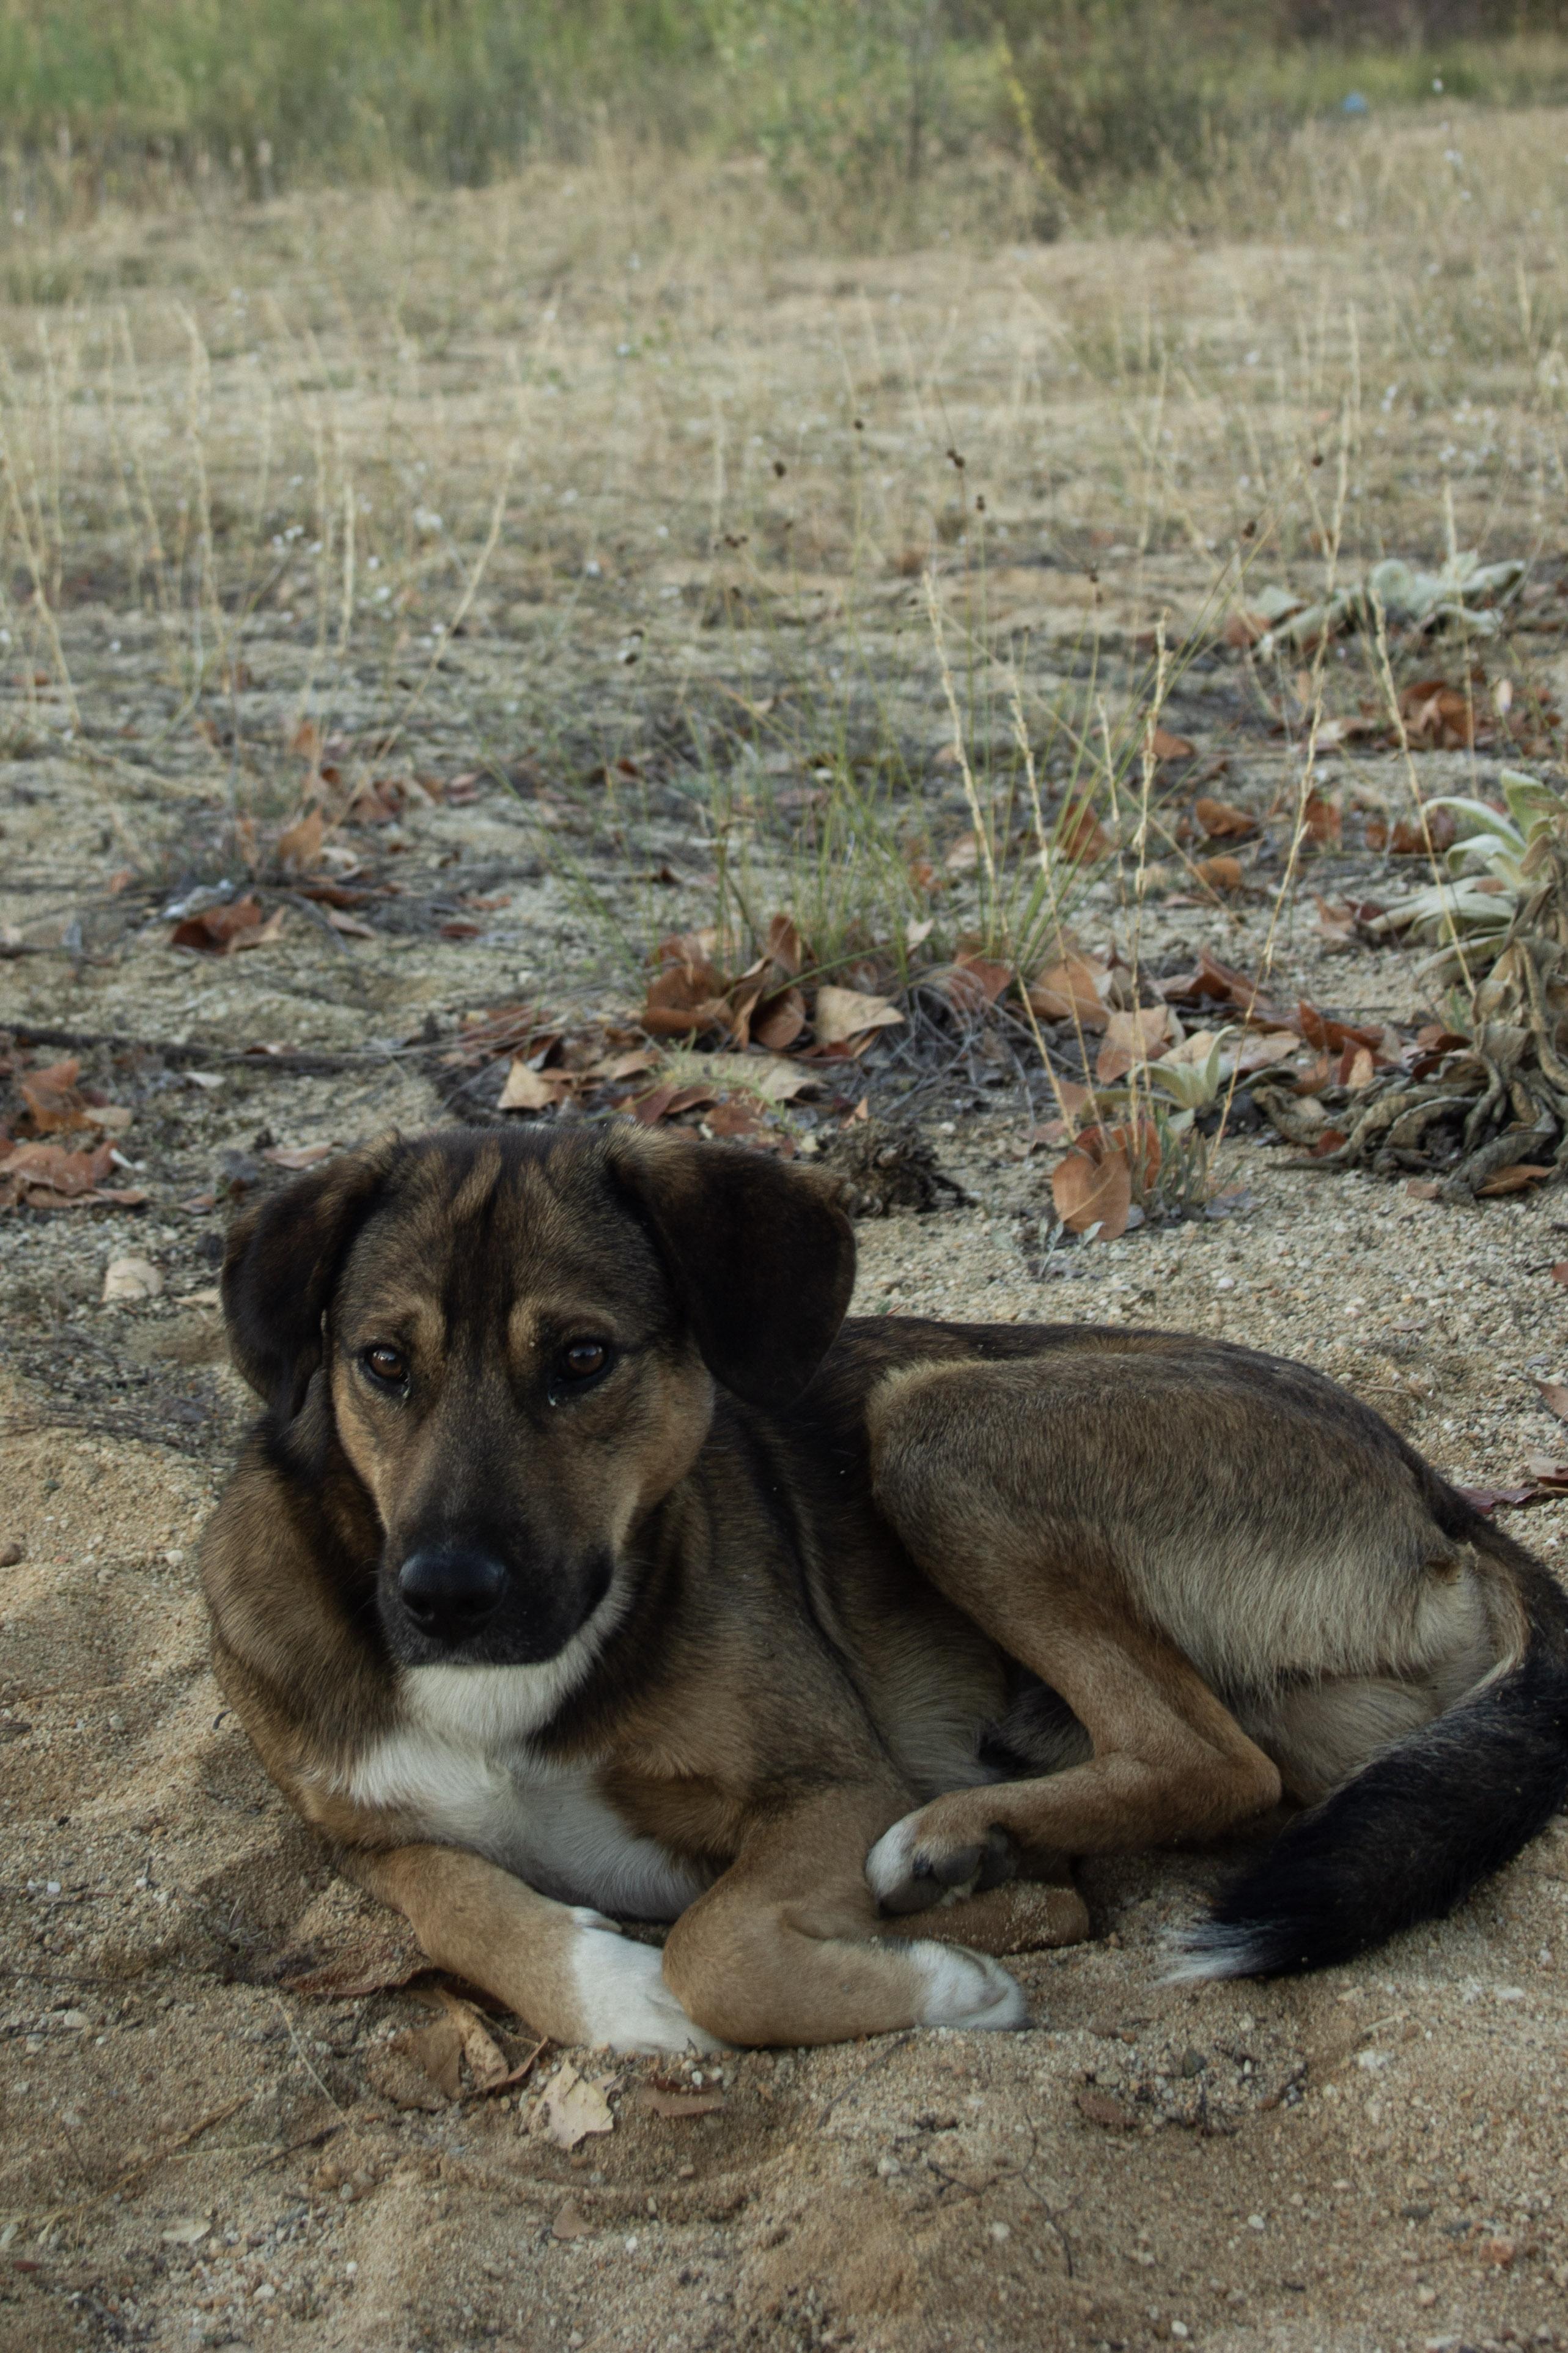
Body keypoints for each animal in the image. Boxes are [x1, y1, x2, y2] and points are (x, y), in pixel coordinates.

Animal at [202, 1115, 1568, 2042]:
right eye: (383, 1363)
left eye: (583, 1358)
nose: (444, 1597)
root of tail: (1440, 1494)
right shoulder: (360, 1834)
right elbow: (458, 1901)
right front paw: (613, 1987)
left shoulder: (832, 1787)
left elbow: (717, 1952)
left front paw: (937, 1980)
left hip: (934, 1423)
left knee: (1206, 1757)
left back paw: (967, 1842)